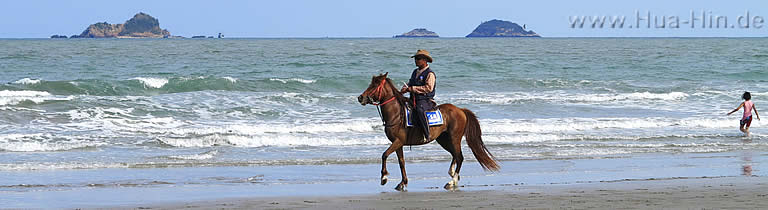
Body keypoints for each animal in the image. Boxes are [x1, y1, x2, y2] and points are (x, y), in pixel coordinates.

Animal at [358, 72, 500, 190]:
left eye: (374, 85)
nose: (360, 97)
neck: (397, 114)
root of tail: (460, 110)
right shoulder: (398, 143)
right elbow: (401, 162)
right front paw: (403, 182)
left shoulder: (398, 141)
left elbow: (384, 155)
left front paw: (384, 178)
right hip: (443, 139)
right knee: (455, 155)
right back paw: (452, 174)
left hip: (454, 138)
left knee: (459, 156)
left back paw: (452, 181)